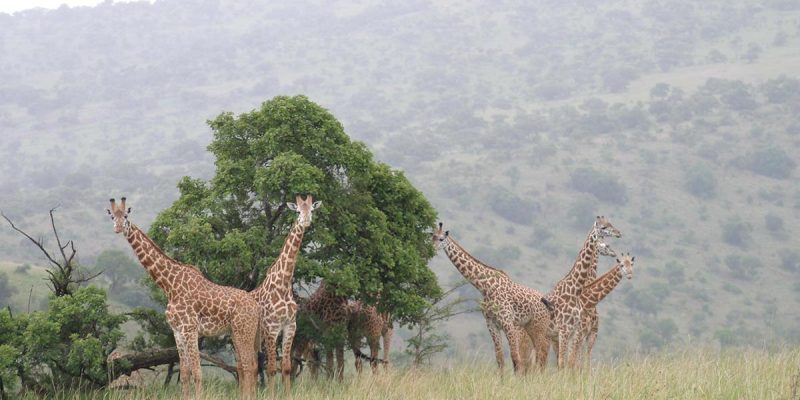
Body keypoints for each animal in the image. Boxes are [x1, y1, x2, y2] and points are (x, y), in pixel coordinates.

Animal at [108, 198, 258, 400]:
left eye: (125, 216)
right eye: (111, 217)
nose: (117, 228)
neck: (169, 286)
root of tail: (256, 306)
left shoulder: (190, 330)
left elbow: (197, 372)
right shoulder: (177, 332)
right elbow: (185, 373)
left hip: (244, 331)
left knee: (250, 365)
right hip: (236, 332)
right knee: (246, 366)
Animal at [248, 194, 320, 396]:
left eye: (312, 209)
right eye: (297, 210)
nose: (306, 221)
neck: (284, 284)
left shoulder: (290, 326)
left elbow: (287, 367)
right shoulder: (271, 328)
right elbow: (272, 368)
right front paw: (271, 396)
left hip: (256, 339)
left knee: (253, 366)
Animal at [432, 223, 556, 374]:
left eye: (441, 238)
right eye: (432, 236)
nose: (432, 248)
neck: (485, 287)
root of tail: (547, 303)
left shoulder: (507, 323)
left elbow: (515, 358)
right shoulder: (491, 323)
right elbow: (500, 358)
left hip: (539, 327)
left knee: (541, 356)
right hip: (530, 327)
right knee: (537, 357)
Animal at [548, 216, 620, 368]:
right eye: (604, 227)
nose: (619, 233)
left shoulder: (584, 333)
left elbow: (578, 362)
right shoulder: (574, 331)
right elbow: (570, 362)